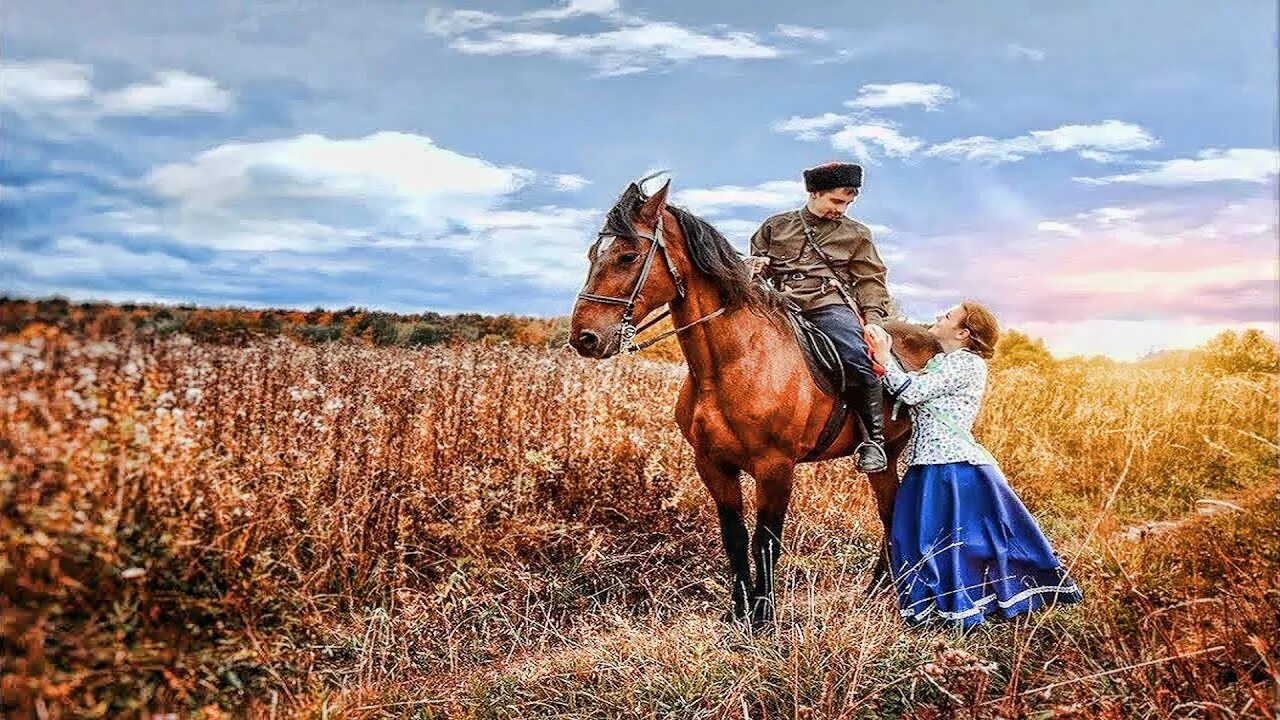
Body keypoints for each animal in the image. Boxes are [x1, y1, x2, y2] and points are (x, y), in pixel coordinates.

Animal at [570, 176, 942, 625]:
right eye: (593, 254)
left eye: (627, 256)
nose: (584, 338)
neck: (730, 364)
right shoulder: (713, 465)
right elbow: (735, 535)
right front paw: (738, 612)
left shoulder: (775, 468)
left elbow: (766, 539)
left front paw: (763, 617)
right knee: (889, 513)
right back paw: (877, 591)